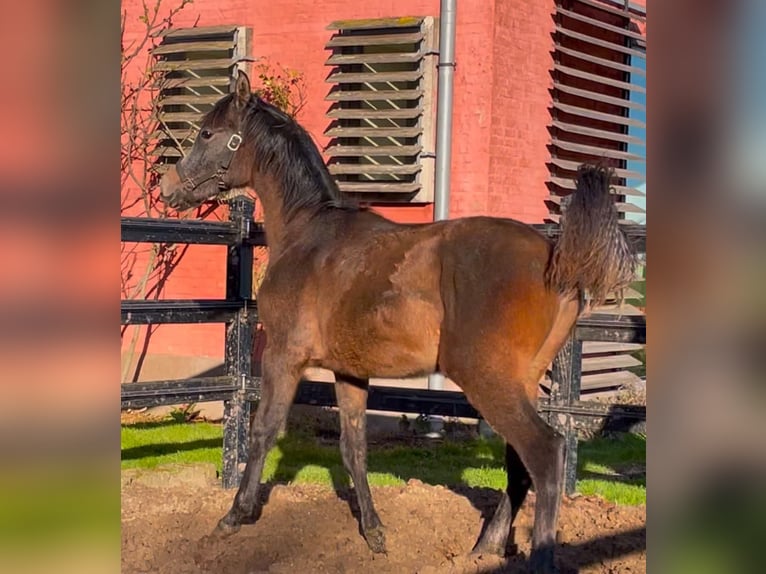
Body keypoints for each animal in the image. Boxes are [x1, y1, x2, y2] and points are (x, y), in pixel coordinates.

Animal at [160, 73, 636, 574]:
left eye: (207, 133)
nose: (168, 187)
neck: (309, 236)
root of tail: (553, 258)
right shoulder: (349, 370)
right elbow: (353, 447)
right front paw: (374, 533)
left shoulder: (284, 356)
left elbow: (263, 430)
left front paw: (233, 516)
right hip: (520, 382)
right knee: (518, 464)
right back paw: (483, 547)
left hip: (488, 381)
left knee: (545, 454)